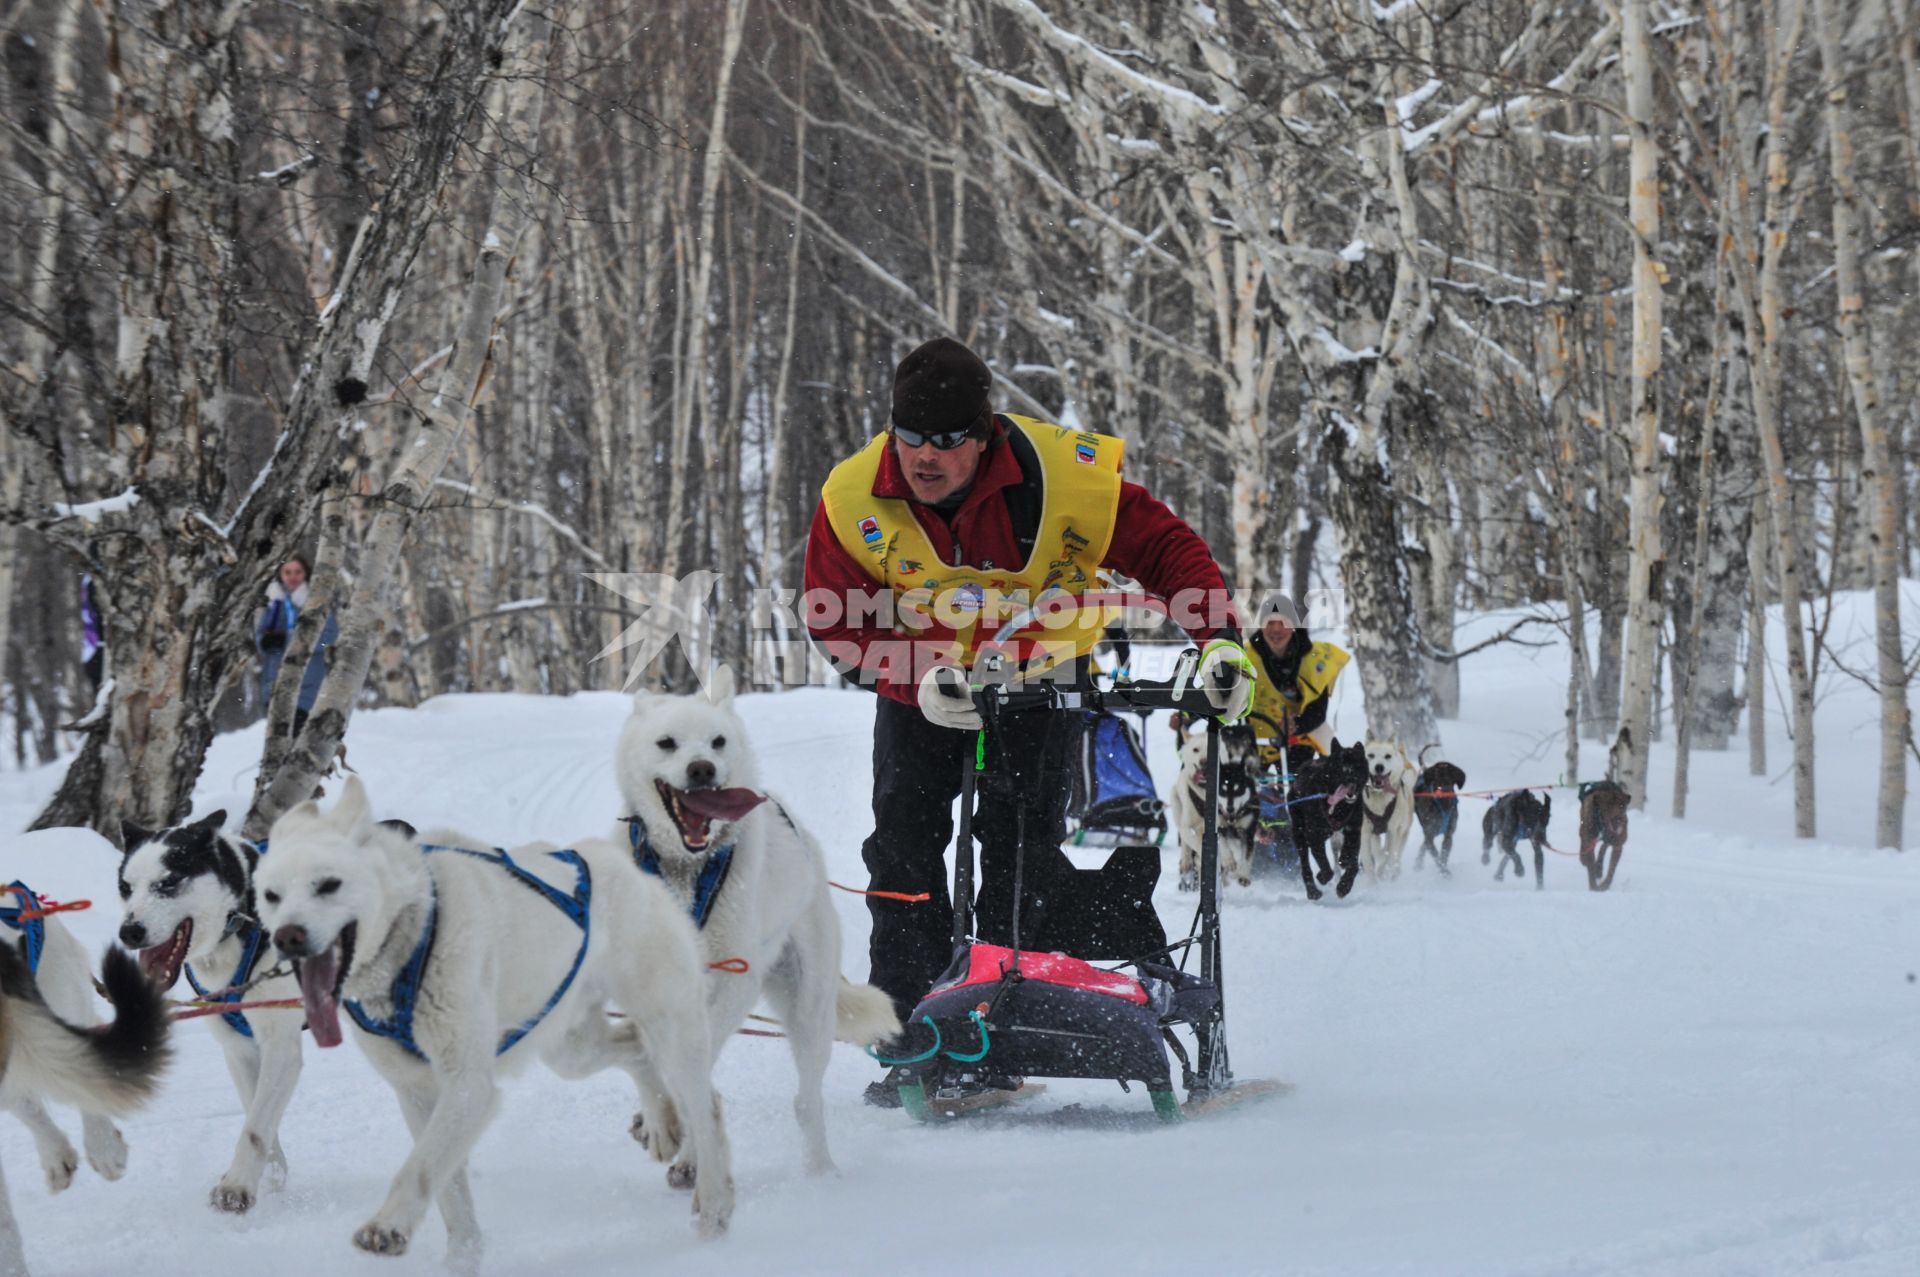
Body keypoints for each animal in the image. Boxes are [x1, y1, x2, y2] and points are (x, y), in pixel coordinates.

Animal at [118, 810, 309, 1213]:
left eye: (167, 882)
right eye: (126, 887)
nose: (129, 931)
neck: (245, 916)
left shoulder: (280, 1046)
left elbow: (255, 1126)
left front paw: (237, 1186)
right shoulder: (239, 1047)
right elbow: (256, 1113)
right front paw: (271, 1172)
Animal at [253, 775, 725, 1267]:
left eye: (328, 884)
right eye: (271, 895)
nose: (287, 936)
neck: (414, 933)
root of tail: (624, 865)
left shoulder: (468, 1084)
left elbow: (421, 1166)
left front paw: (387, 1226)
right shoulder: (417, 1092)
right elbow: (449, 1190)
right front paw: (462, 1258)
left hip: (670, 1027)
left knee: (705, 1108)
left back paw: (714, 1206)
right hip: (570, 1049)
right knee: (636, 1048)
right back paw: (662, 1120)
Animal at [622, 672, 906, 1182]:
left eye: (717, 741)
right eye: (666, 743)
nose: (702, 769)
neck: (686, 871)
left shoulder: (735, 980)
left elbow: (691, 1065)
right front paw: (660, 1121)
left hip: (808, 1011)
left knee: (806, 1101)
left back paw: (820, 1170)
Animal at [1359, 737, 1420, 875]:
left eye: (1387, 756)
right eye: (1370, 755)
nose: (1379, 767)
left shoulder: (1393, 830)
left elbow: (1389, 855)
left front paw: (1384, 869)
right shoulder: (1366, 831)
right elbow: (1373, 856)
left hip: (1403, 830)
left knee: (1396, 853)